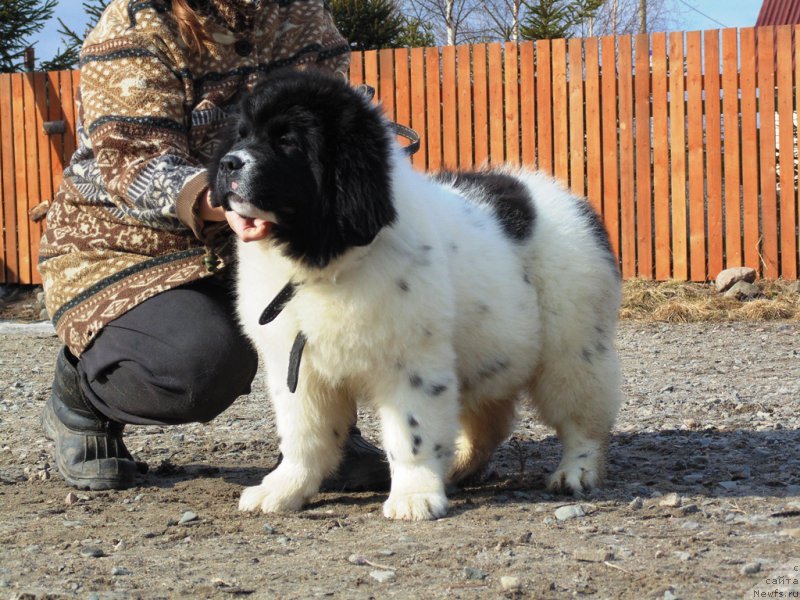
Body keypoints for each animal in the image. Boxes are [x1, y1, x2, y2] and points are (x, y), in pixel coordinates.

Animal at [209, 69, 620, 520]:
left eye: (287, 141)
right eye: (242, 135)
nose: (228, 163)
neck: (323, 260)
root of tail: (570, 199)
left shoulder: (411, 362)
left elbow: (412, 433)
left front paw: (414, 496)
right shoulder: (298, 366)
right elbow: (303, 436)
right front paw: (283, 489)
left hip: (573, 346)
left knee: (583, 415)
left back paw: (576, 471)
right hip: (491, 350)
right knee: (489, 421)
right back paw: (459, 465)